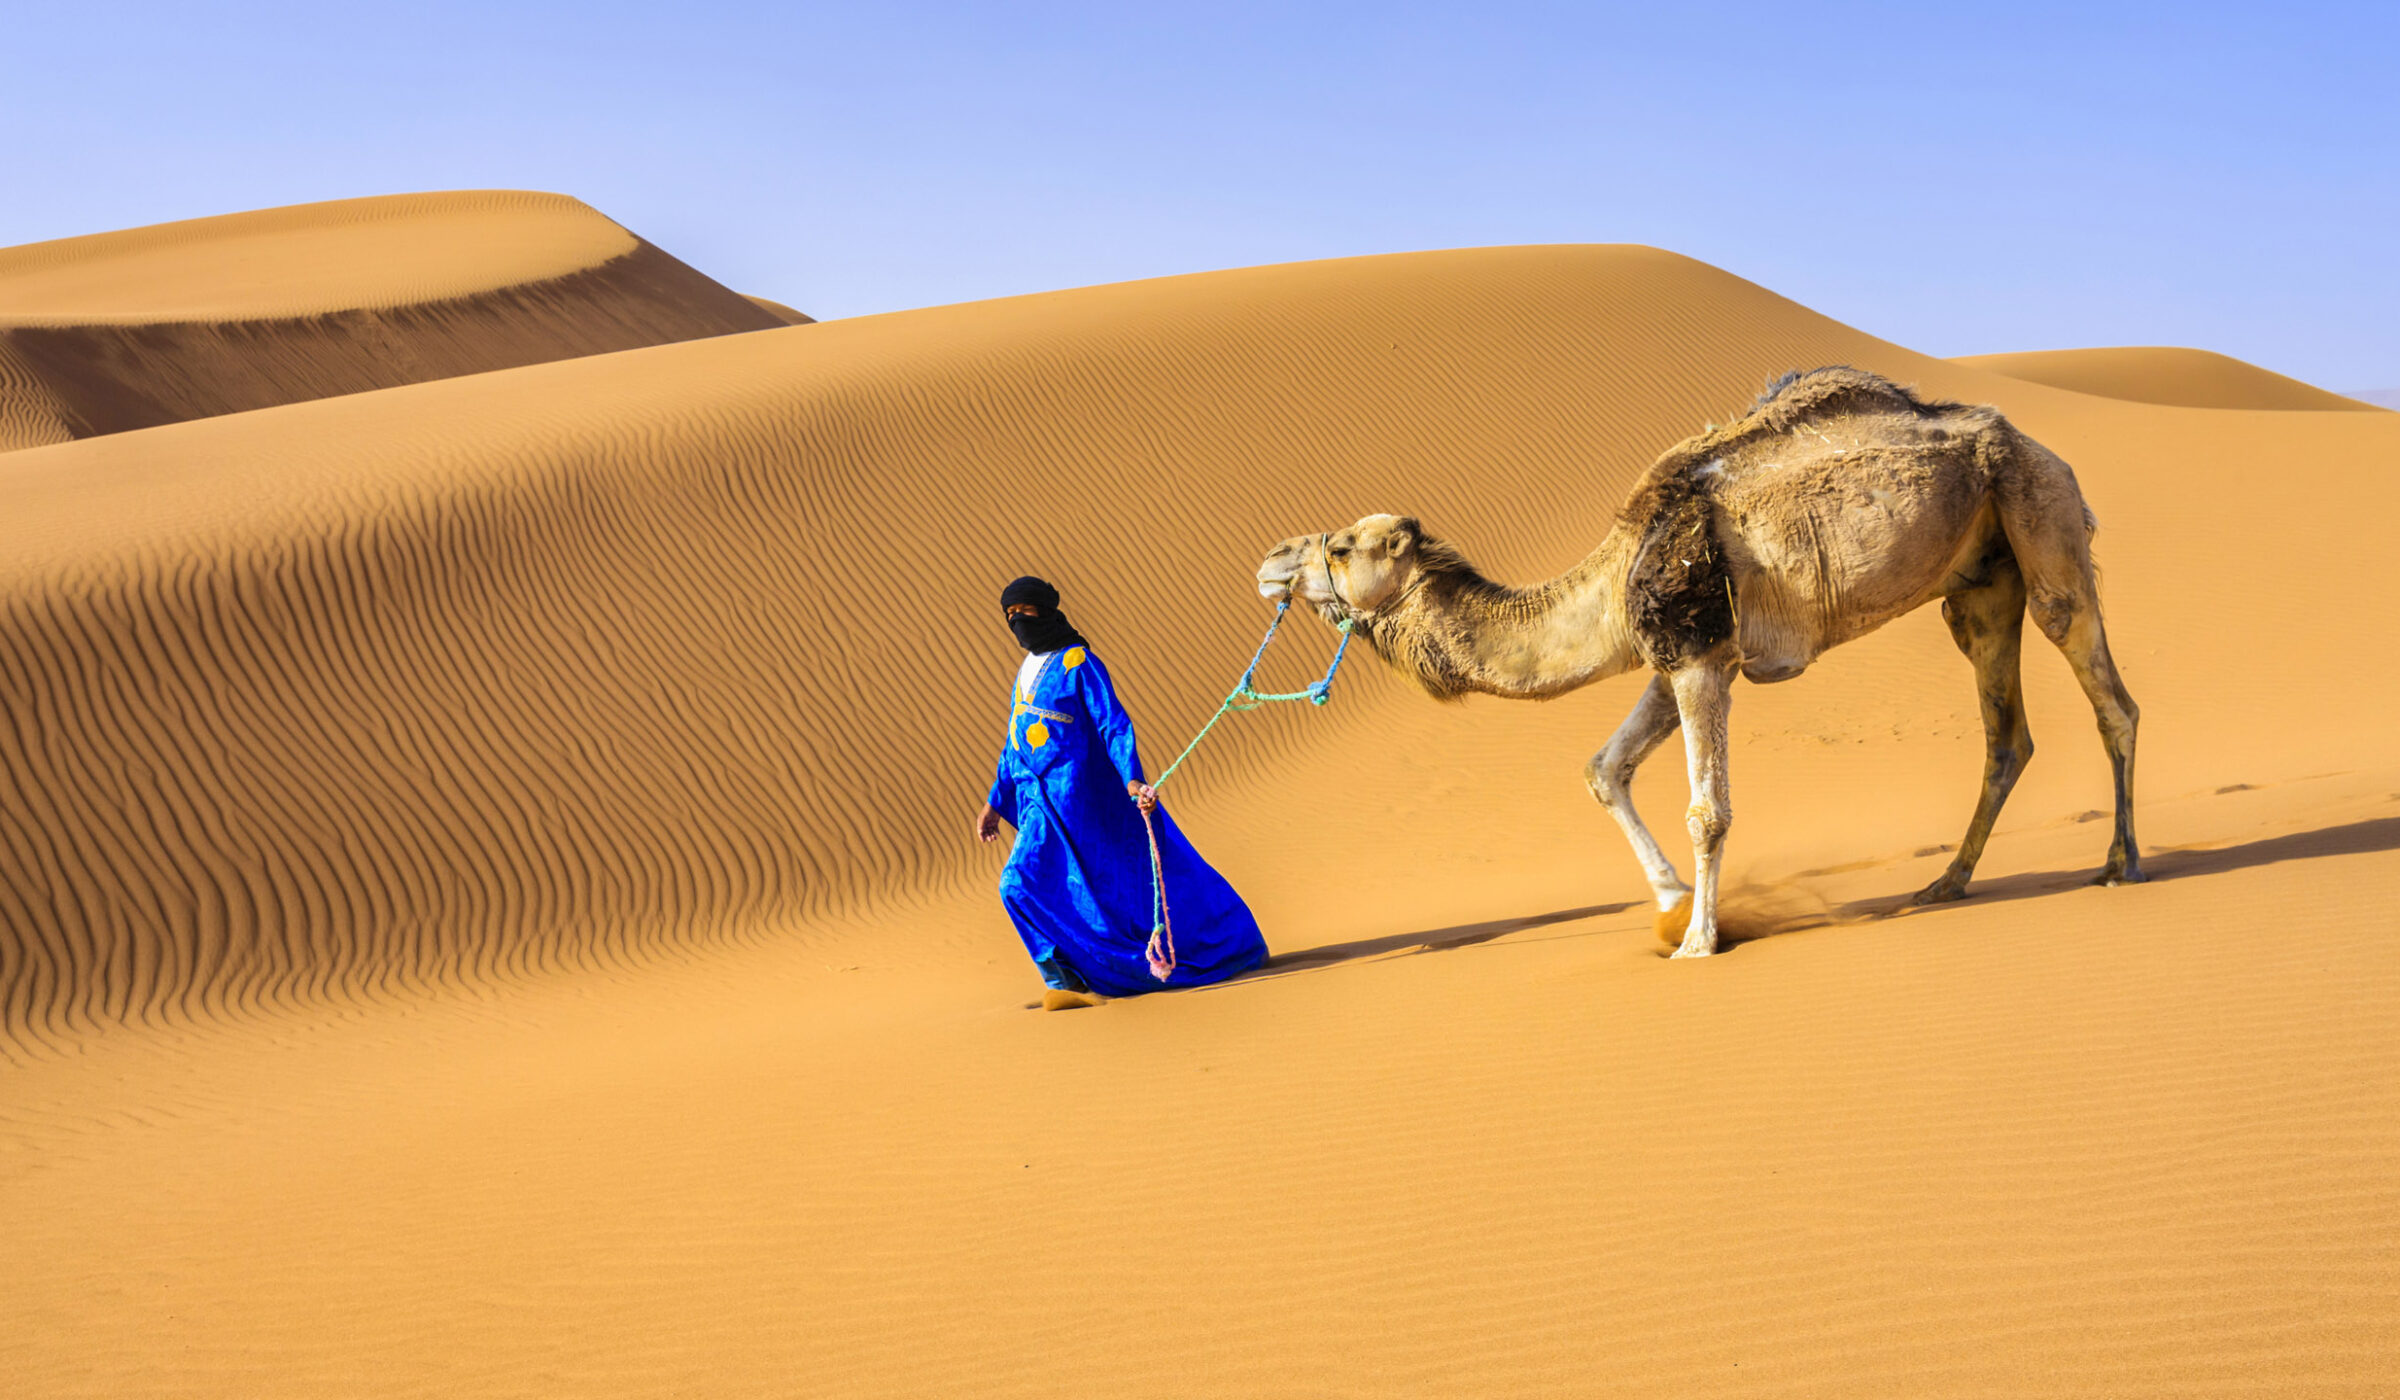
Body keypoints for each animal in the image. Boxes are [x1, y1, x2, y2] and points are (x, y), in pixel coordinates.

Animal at [1255, 367, 2142, 958]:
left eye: (1343, 546)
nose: (1268, 561)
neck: (1612, 579)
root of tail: (2038, 446)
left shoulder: (1699, 657)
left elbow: (1707, 810)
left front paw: (1698, 940)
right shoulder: (1670, 658)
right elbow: (1602, 768)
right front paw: (1673, 901)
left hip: (2041, 509)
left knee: (2105, 689)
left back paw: (2121, 863)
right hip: (1981, 584)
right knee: (2007, 733)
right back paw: (1948, 883)